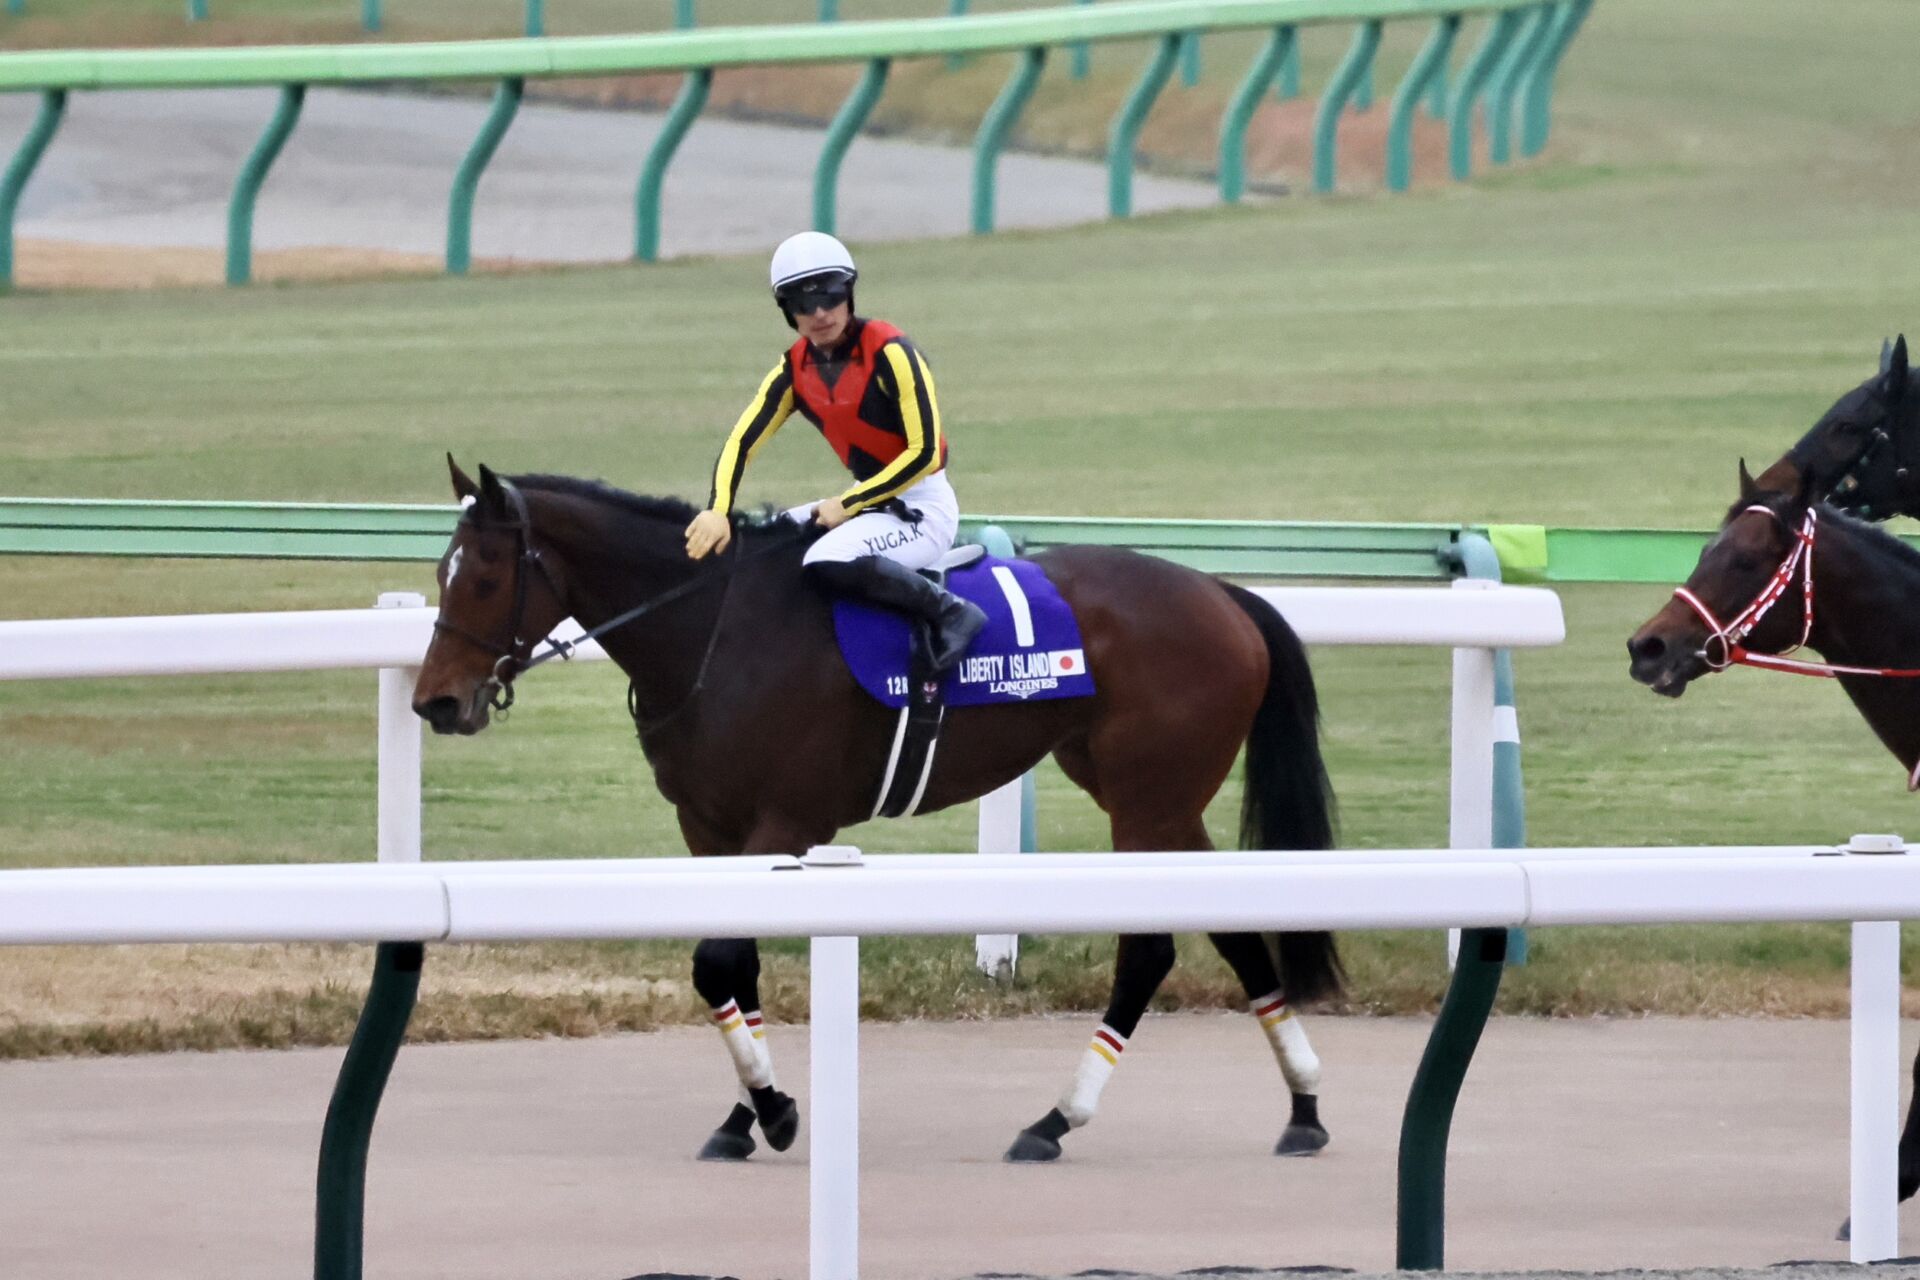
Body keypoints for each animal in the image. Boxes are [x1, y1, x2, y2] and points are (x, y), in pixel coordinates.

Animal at [413, 458, 1342, 1164]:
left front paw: (776, 1110)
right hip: (1156, 797)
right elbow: (736, 969)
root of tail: (1222, 593)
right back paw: (1302, 1107)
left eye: (486, 575)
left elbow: (718, 962)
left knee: (1148, 950)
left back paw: (1055, 1119)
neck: (716, 627)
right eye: (440, 573)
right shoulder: (709, 830)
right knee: (1235, 928)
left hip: (1148, 801)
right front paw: (745, 1115)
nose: (436, 702)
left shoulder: (784, 822)